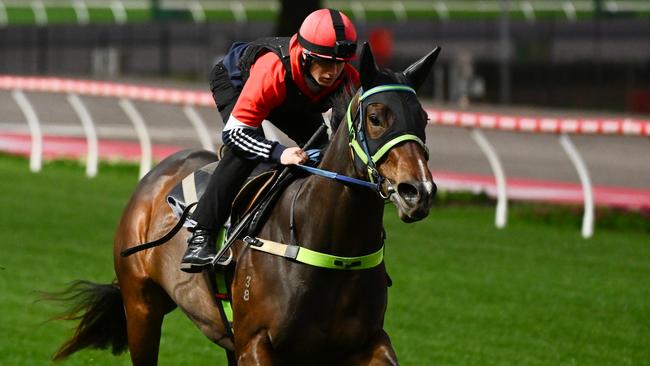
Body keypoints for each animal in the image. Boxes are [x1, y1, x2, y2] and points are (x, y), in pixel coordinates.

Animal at [53, 44, 438, 364]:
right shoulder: (255, 343)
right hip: (141, 307)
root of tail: (158, 173)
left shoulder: (368, 342)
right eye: (376, 118)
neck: (327, 241)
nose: (417, 191)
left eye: (423, 118)